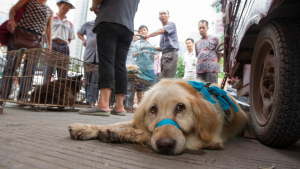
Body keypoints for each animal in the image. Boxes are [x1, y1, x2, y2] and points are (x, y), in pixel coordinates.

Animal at [69, 79, 247, 154]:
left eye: (180, 107)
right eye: (153, 109)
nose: (165, 145)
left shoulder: (208, 139)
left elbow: (147, 132)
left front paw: (119, 133)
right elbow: (119, 123)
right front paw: (86, 128)